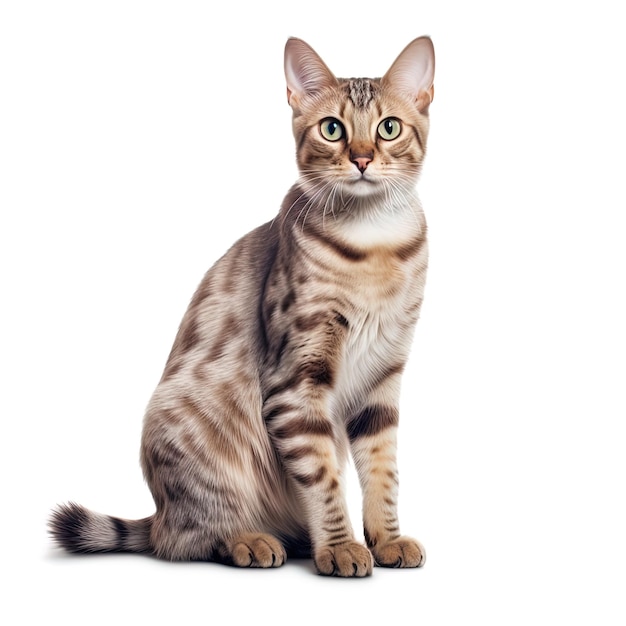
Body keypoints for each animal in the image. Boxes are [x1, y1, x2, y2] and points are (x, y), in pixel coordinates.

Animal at [48, 35, 434, 576]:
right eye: (332, 129)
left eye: (389, 128)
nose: (361, 159)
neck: (373, 240)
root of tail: (158, 512)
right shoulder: (296, 378)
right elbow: (323, 478)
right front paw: (340, 547)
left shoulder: (384, 370)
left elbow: (383, 472)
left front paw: (387, 539)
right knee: (186, 538)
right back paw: (249, 539)